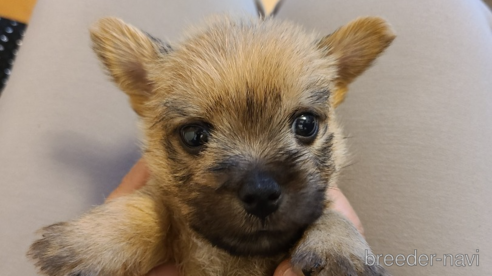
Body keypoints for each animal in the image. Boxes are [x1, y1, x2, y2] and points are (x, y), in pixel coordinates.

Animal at [26, 15, 396, 276]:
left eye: (306, 125)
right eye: (194, 136)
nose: (261, 193)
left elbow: (329, 212)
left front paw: (339, 249)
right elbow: (151, 209)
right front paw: (91, 241)